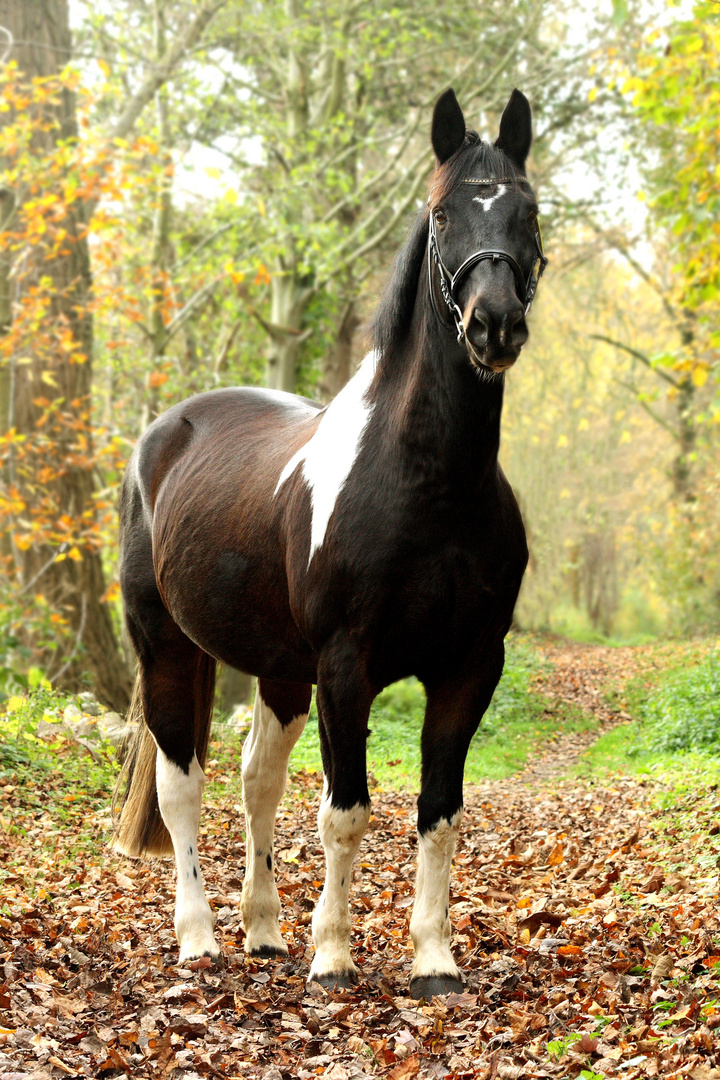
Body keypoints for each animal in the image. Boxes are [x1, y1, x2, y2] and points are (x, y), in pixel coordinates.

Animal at [115, 88, 548, 997]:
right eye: (443, 213)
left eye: (527, 211)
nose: (493, 326)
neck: (427, 484)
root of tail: (163, 435)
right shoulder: (347, 668)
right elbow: (345, 811)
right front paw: (334, 958)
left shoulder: (468, 668)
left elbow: (438, 813)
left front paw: (432, 960)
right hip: (167, 647)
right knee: (183, 785)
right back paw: (200, 939)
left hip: (279, 668)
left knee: (257, 782)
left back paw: (261, 932)